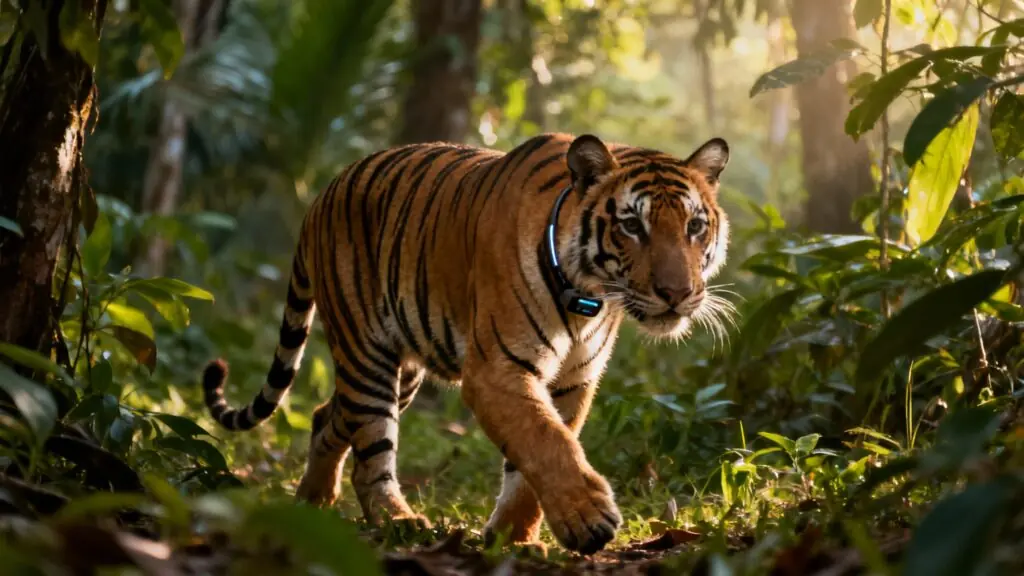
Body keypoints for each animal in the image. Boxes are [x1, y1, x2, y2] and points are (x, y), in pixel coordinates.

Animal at [201, 132, 731, 554]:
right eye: (632, 226)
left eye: (694, 226)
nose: (677, 293)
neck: (590, 296)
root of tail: (322, 194)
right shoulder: (498, 369)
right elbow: (545, 441)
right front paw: (588, 520)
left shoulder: (572, 381)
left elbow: (534, 457)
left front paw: (515, 540)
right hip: (366, 352)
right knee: (371, 446)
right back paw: (397, 520)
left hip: (403, 370)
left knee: (327, 416)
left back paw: (312, 501)